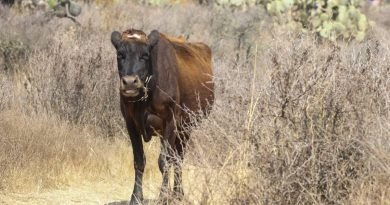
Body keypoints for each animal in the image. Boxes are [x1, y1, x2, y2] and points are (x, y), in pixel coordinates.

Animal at [109, 28, 215, 203]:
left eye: (145, 55)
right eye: (120, 55)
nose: (130, 82)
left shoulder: (170, 122)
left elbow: (165, 161)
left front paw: (164, 196)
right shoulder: (130, 123)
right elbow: (139, 160)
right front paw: (136, 197)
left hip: (185, 128)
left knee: (178, 159)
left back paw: (178, 194)